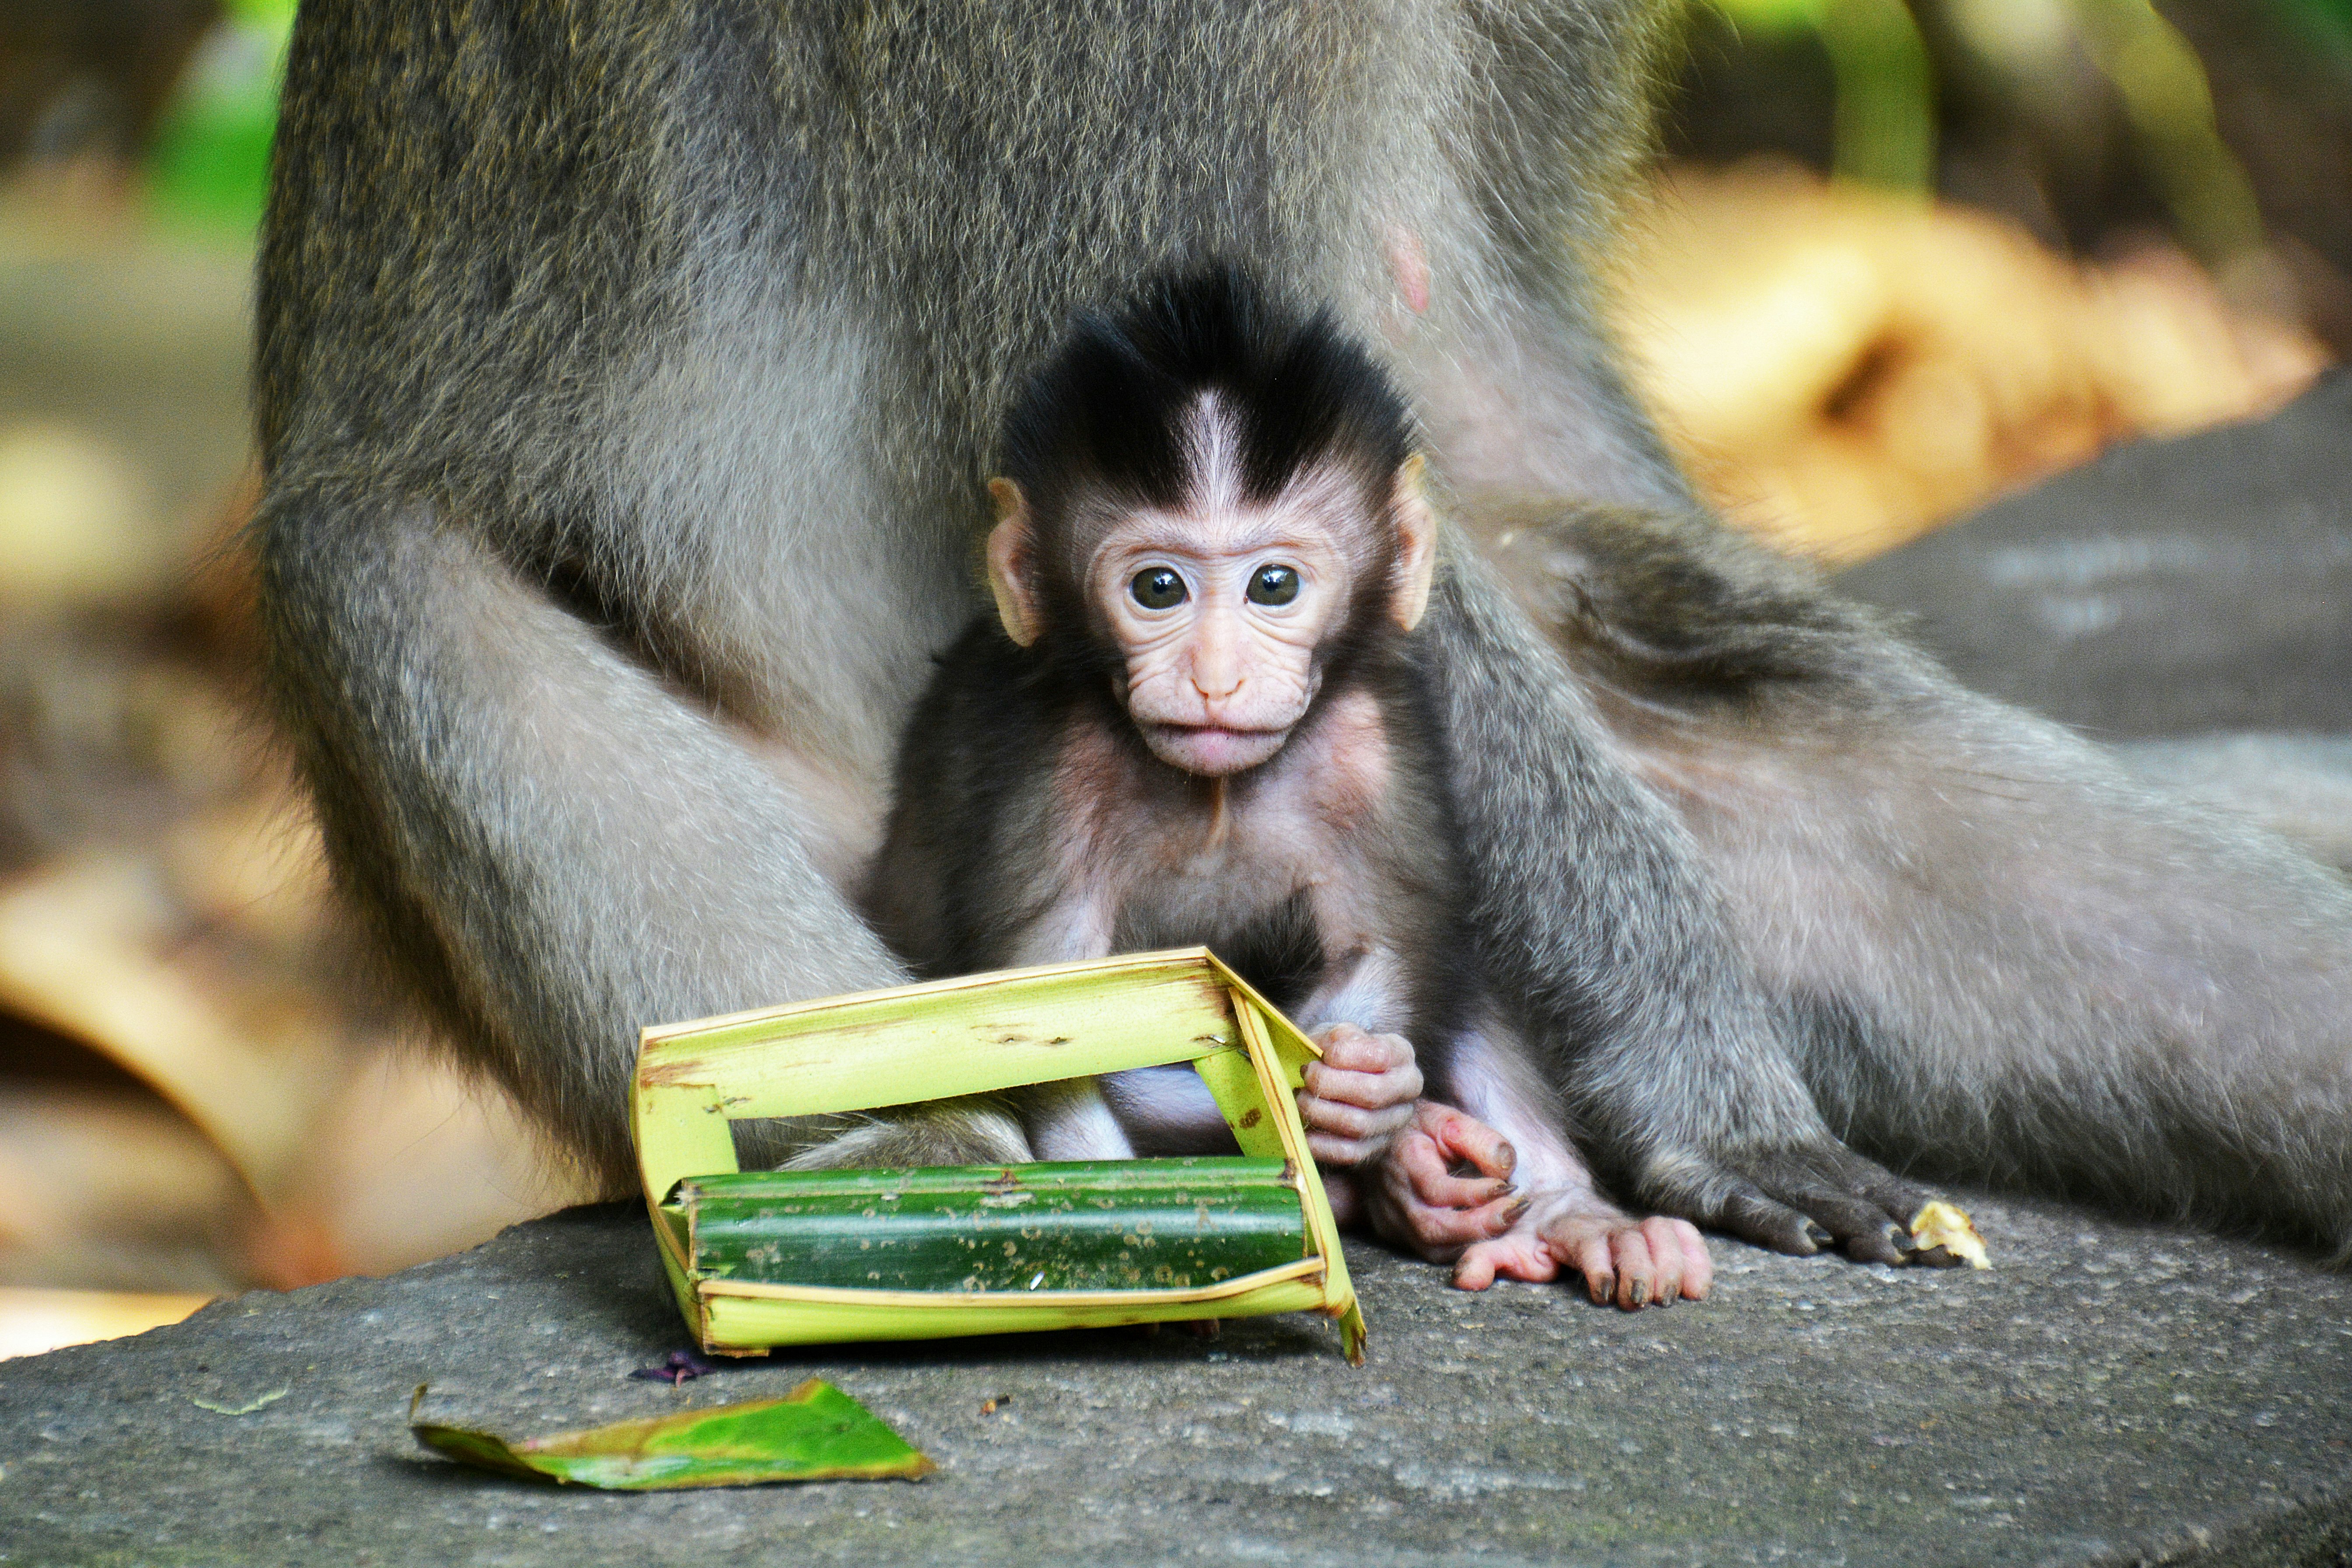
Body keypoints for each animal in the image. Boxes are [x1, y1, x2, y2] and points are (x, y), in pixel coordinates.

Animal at [865, 263, 1712, 1307]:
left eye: (1274, 585)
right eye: (1157, 589)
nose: (1217, 678)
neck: (1216, 791)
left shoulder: (1367, 745)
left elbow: (1383, 942)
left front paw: (1364, 1098)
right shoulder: (1055, 765)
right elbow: (1056, 1012)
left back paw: (1566, 1213)